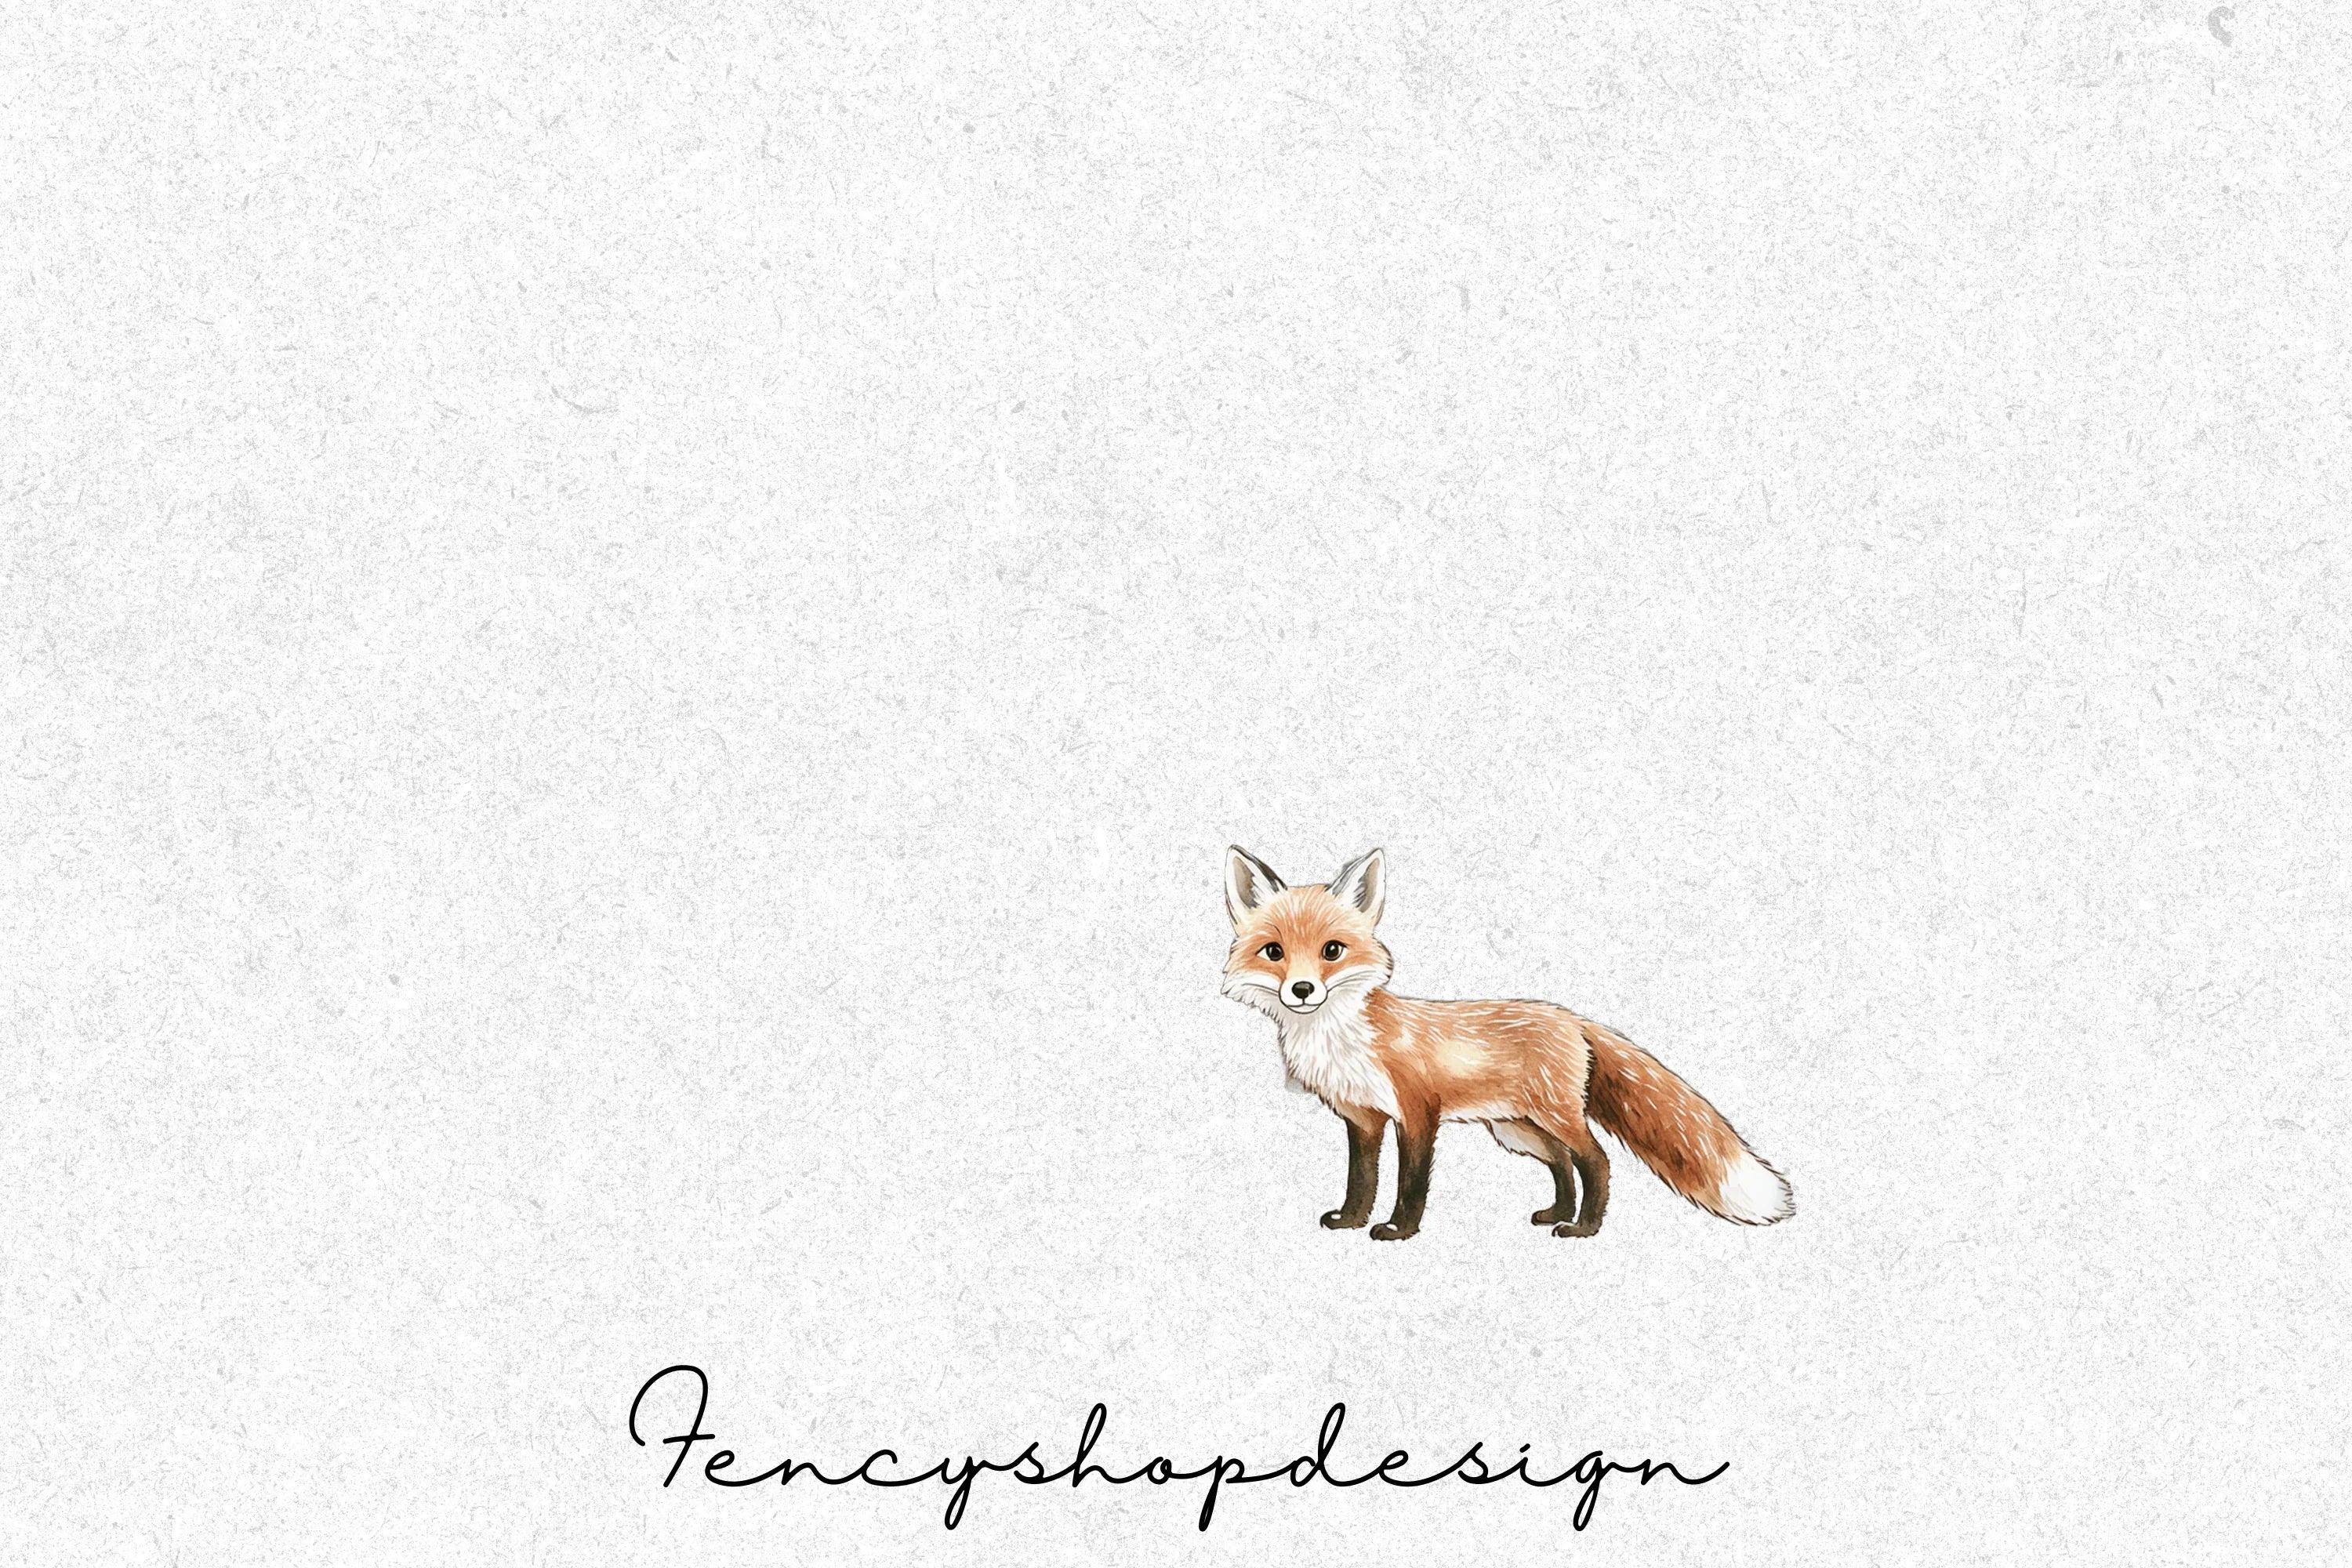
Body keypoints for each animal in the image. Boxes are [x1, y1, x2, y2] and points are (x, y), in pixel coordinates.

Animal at [1221, 845, 1793, 1241]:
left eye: (1332, 951)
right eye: (1274, 952)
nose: (1302, 990)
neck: (1343, 1037)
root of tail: (1572, 1018)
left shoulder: (1416, 1112)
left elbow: (1410, 1185)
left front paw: (1398, 1231)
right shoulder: (1363, 1118)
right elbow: (1360, 1181)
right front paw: (1350, 1221)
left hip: (1552, 1116)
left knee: (1595, 1160)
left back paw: (1582, 1228)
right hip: (1519, 1129)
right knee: (1562, 1163)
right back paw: (1557, 1213)